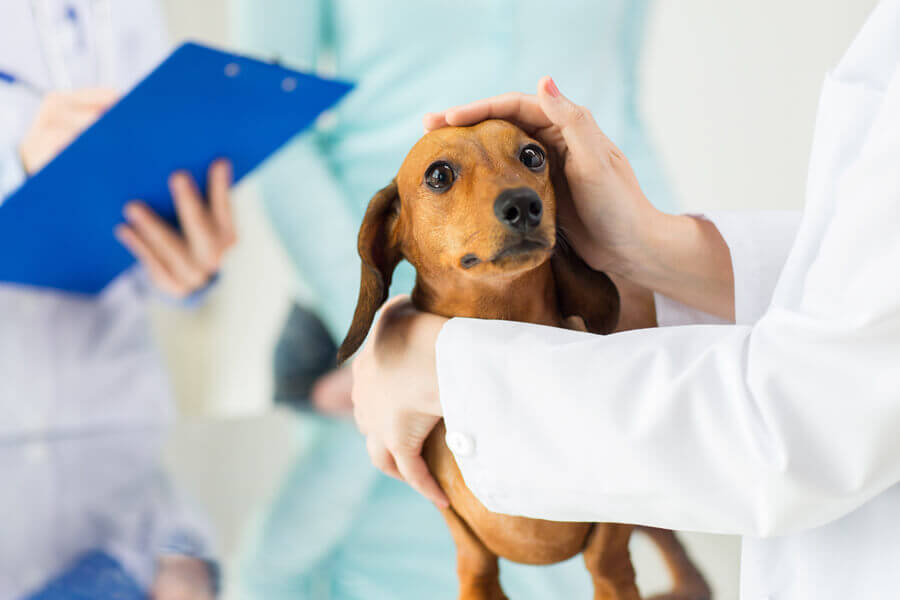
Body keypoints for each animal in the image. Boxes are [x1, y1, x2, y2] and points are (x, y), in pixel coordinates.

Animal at [338, 118, 712, 600]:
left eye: (533, 155)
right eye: (438, 175)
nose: (522, 204)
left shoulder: (613, 535)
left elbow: (606, 560)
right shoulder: (466, 541)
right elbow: (476, 564)